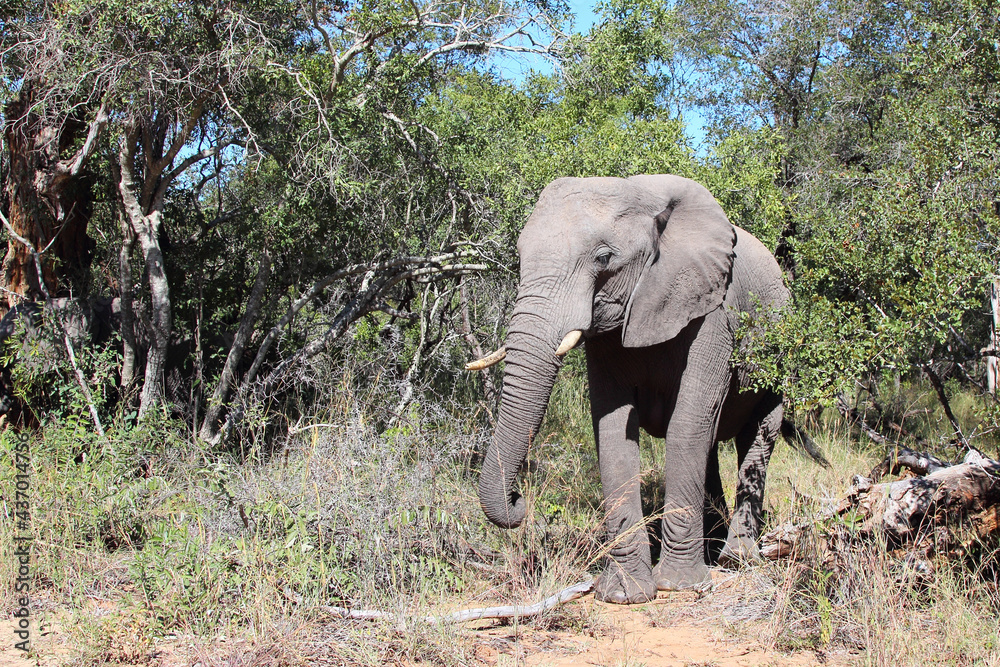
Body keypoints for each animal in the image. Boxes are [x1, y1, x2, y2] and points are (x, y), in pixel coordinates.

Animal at [468, 174, 789, 604]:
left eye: (604, 258)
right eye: (520, 255)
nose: (519, 501)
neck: (642, 194)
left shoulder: (715, 314)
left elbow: (687, 425)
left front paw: (680, 586)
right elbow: (612, 431)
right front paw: (624, 593)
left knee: (757, 437)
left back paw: (736, 558)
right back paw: (713, 544)